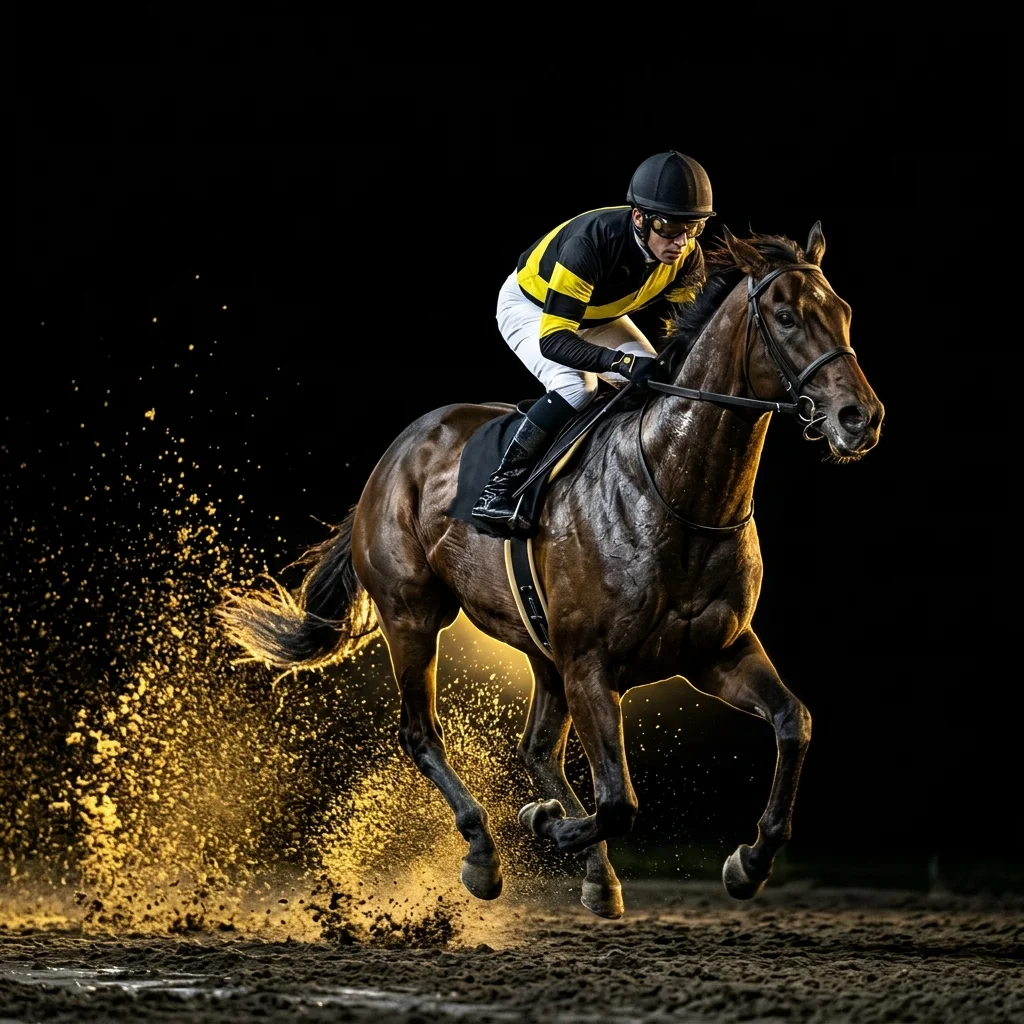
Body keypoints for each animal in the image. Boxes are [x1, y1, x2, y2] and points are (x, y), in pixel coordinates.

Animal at [216, 223, 884, 920]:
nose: (859, 417)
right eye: (786, 317)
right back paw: (485, 853)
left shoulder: (715, 653)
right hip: (413, 616)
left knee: (536, 748)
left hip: (541, 649)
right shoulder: (591, 664)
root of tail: (397, 454)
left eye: (843, 312)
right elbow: (618, 802)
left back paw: (594, 872)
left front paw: (749, 863)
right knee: (421, 733)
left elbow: (794, 723)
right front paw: (545, 824)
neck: (674, 492)